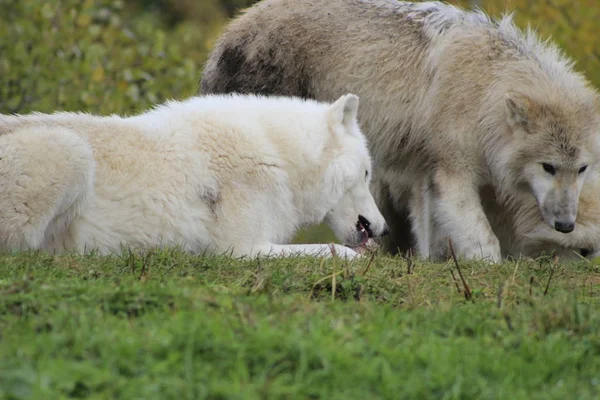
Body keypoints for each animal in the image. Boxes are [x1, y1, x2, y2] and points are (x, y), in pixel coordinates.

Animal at [0, 93, 390, 260]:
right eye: (367, 173)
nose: (384, 228)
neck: (281, 155)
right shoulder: (242, 249)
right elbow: (337, 250)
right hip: (71, 149)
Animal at [198, 0, 600, 262]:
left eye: (581, 168)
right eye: (549, 167)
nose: (565, 224)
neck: (488, 88)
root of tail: (230, 31)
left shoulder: (428, 177)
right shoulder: (451, 170)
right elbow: (483, 241)